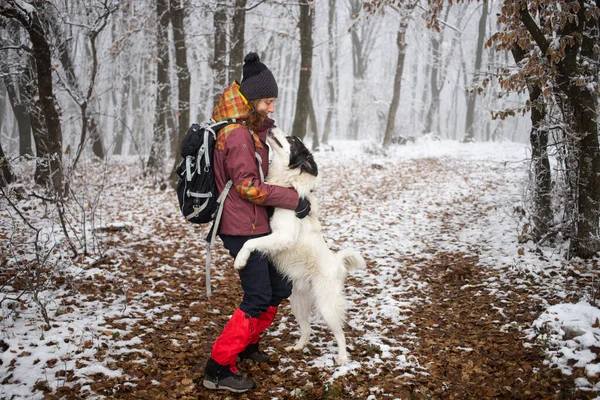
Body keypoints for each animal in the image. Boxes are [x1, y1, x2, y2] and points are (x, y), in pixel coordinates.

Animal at [232, 128, 364, 366]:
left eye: (292, 140)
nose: (273, 127)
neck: (287, 182)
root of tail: (337, 263)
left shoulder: (282, 235)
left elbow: (249, 241)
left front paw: (240, 259)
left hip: (326, 305)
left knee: (340, 332)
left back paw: (342, 358)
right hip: (297, 301)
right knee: (306, 329)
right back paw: (299, 347)